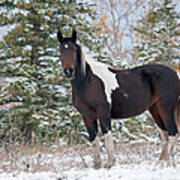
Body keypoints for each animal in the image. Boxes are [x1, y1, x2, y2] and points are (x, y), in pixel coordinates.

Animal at [57, 29, 180, 169]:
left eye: (73, 50)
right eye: (61, 50)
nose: (69, 71)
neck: (87, 81)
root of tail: (174, 74)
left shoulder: (103, 113)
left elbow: (107, 136)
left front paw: (110, 164)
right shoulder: (87, 116)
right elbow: (94, 140)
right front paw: (97, 166)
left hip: (165, 108)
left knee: (173, 133)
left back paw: (163, 162)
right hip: (155, 109)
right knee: (165, 135)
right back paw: (164, 162)